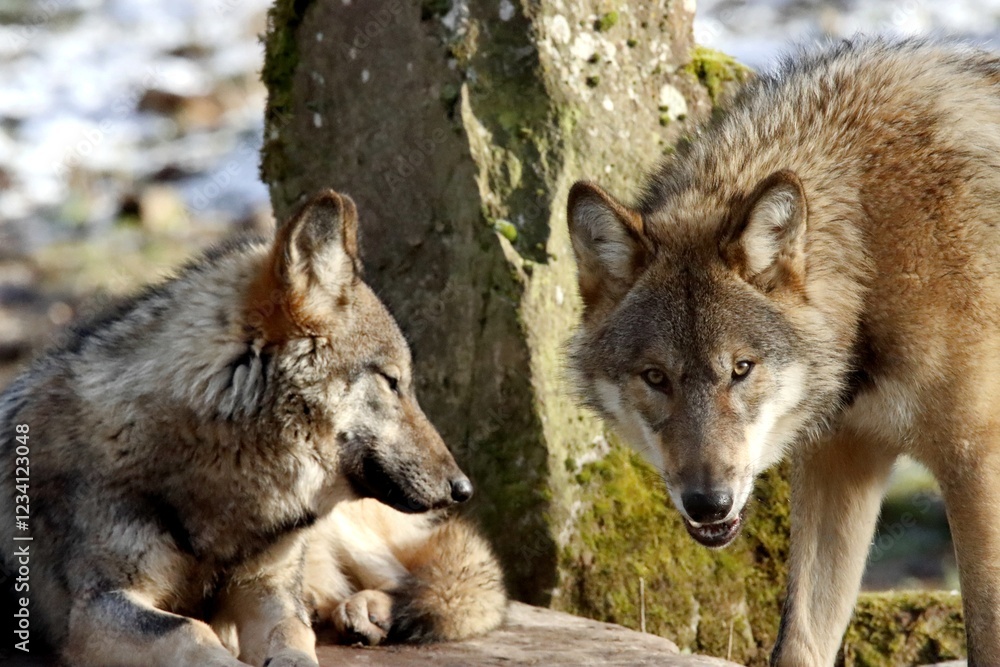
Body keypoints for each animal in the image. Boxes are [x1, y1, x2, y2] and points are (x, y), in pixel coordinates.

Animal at [0, 191, 506, 666]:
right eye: (392, 382)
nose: (463, 488)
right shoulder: (94, 610)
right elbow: (189, 630)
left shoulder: (268, 589)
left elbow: (293, 634)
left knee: (433, 583)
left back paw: (370, 611)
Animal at [566, 37, 1000, 665]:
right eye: (655, 377)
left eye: (741, 369)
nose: (708, 503)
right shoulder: (839, 454)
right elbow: (799, 638)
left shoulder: (977, 464)